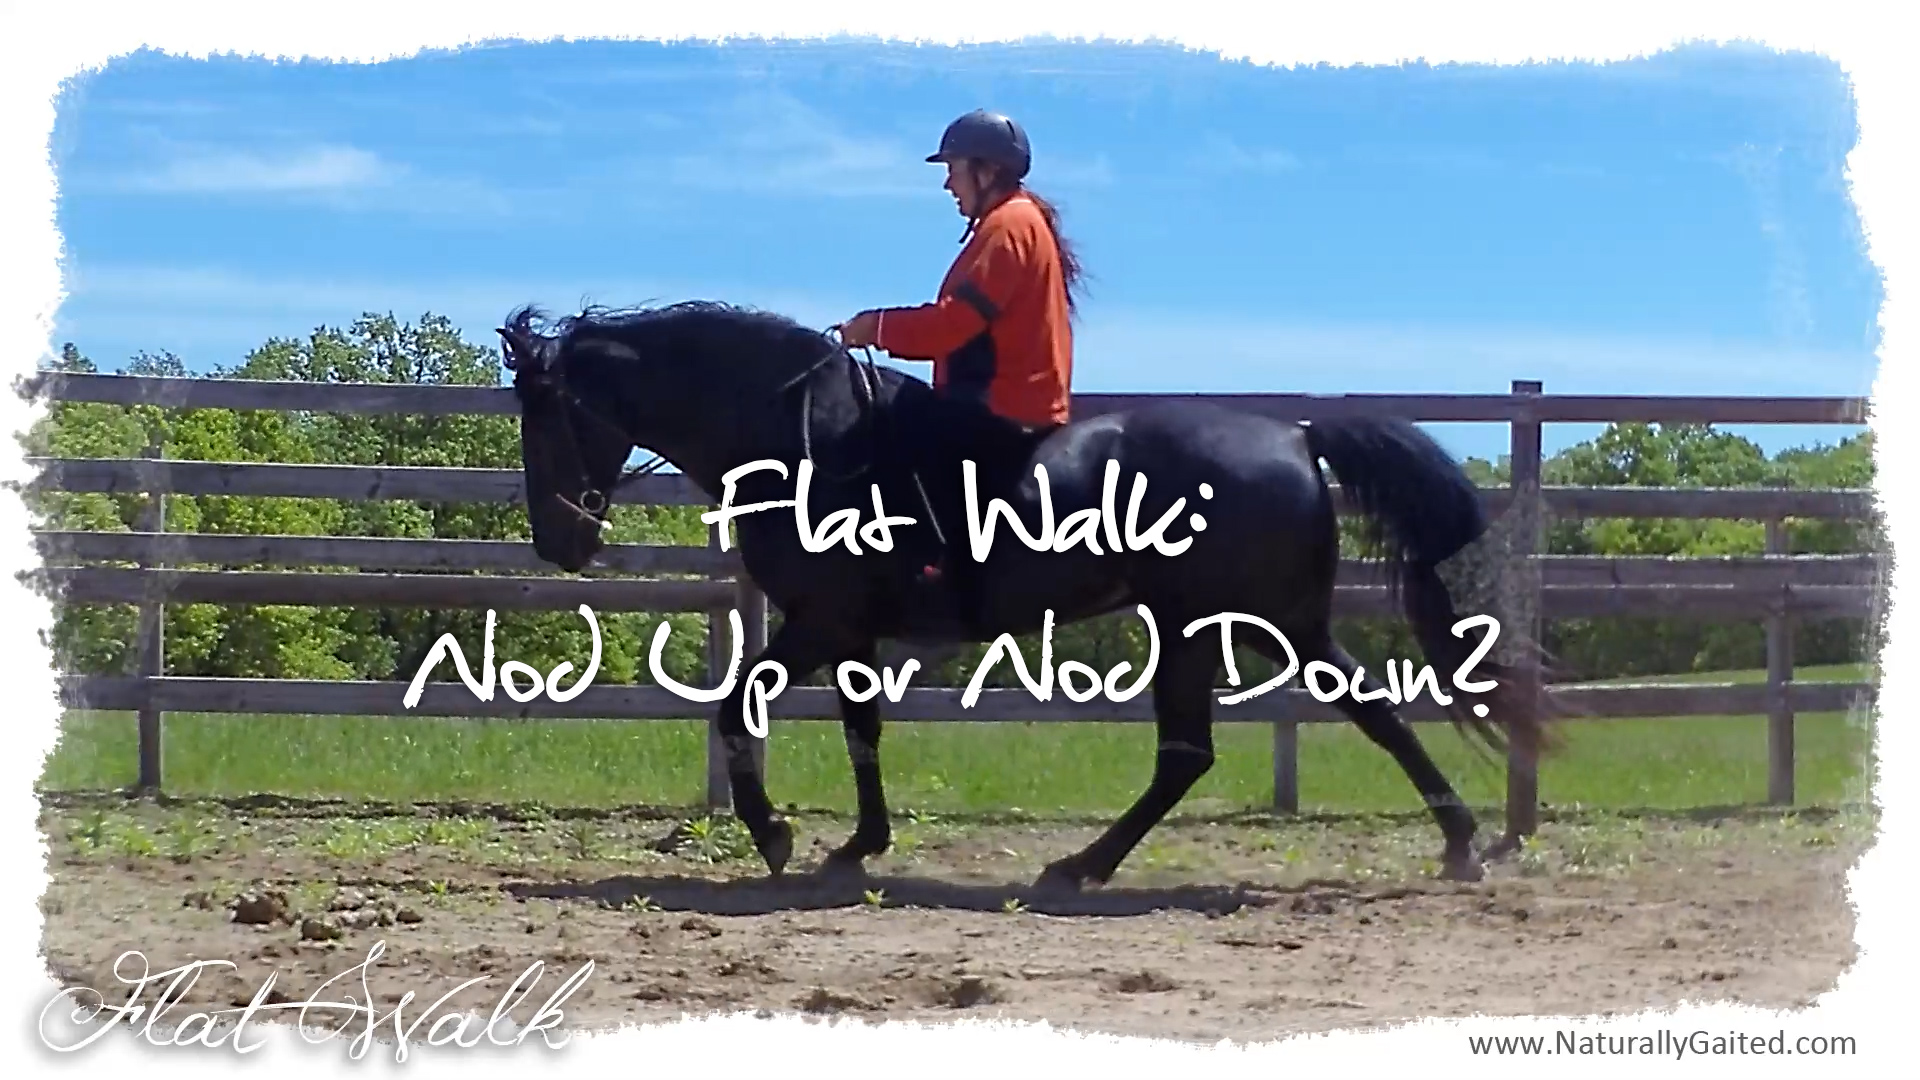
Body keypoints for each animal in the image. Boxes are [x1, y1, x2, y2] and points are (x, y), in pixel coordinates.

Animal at [496, 299, 1553, 891]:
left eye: (548, 418)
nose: (559, 541)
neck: (807, 438)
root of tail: (1296, 436)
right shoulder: (849, 632)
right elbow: (861, 731)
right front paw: (858, 844)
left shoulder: (818, 623)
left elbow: (735, 708)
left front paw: (775, 834)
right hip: (1222, 627)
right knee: (1230, 745)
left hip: (1241, 623)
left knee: (1314, 727)